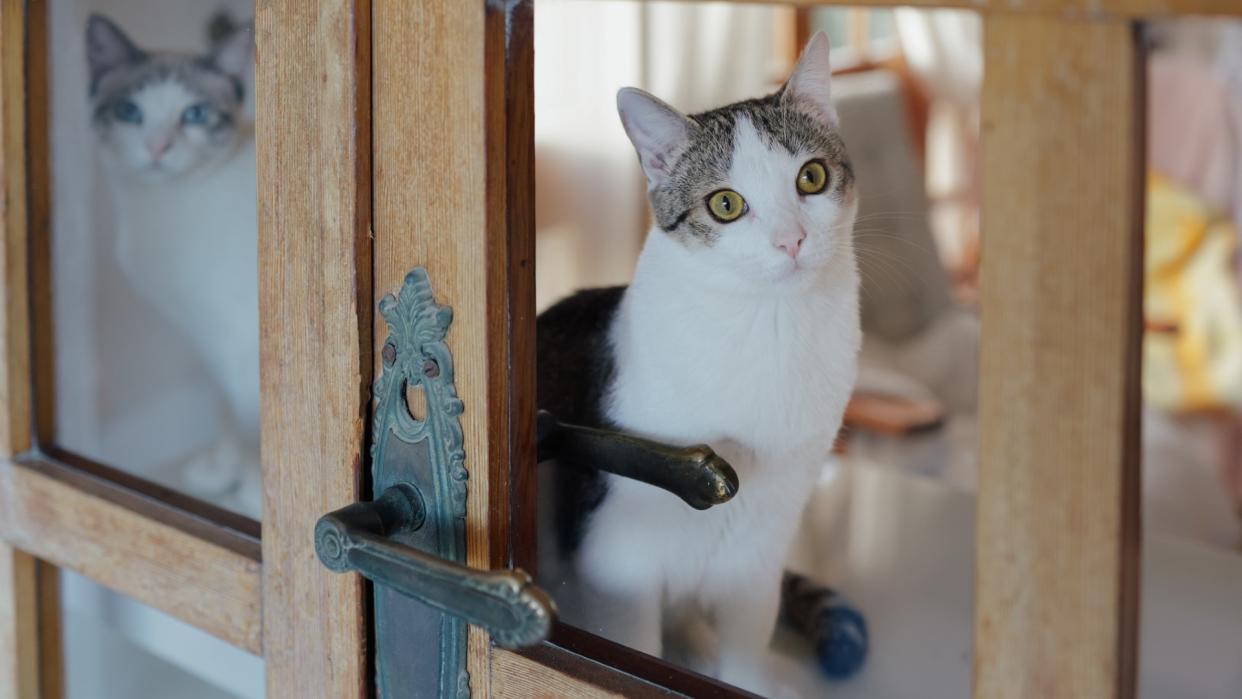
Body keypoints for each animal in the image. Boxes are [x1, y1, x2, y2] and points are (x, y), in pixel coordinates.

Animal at [85, 13, 262, 516]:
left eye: (195, 115)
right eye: (130, 112)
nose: (158, 147)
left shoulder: (242, 336)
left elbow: (254, 423)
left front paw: (255, 497)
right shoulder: (212, 338)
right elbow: (227, 410)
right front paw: (221, 472)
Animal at [539, 34, 859, 699]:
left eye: (811, 177)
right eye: (726, 204)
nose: (791, 240)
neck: (768, 329)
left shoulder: (760, 553)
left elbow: (746, 644)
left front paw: (741, 675)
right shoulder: (618, 561)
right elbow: (634, 649)